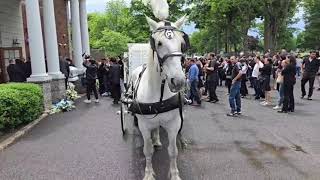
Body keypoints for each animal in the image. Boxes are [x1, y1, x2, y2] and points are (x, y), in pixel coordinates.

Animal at [127, 15, 189, 180]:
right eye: (159, 43)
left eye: (182, 43)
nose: (178, 81)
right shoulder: (144, 125)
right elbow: (147, 151)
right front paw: (149, 174)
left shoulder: (174, 124)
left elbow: (173, 151)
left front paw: (174, 175)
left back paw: (157, 140)